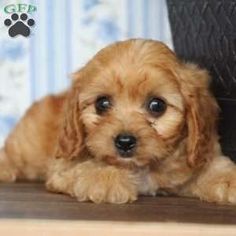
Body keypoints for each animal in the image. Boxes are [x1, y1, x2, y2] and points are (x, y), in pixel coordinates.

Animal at [0, 38, 236, 203]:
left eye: (157, 105)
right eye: (102, 104)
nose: (124, 142)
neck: (144, 167)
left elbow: (213, 166)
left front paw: (229, 179)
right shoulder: (63, 165)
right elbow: (87, 167)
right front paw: (106, 179)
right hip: (25, 149)